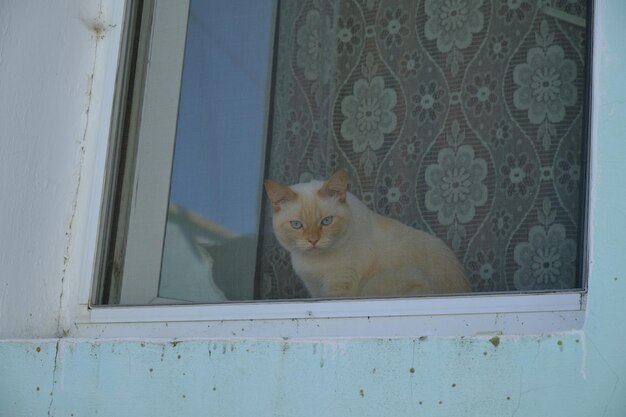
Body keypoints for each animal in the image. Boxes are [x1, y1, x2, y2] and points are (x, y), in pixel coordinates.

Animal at [262, 167, 468, 298]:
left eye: (327, 221)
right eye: (296, 225)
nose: (313, 241)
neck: (314, 264)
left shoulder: (338, 289)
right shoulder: (315, 290)